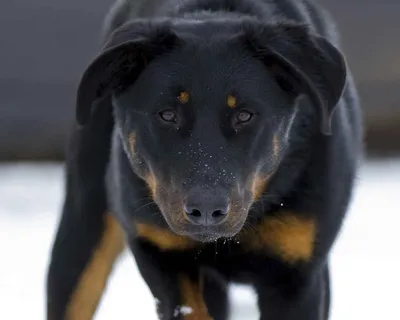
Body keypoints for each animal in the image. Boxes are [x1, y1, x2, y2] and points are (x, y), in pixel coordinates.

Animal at [46, 0, 362, 318]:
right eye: (167, 114)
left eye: (244, 115)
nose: (207, 208)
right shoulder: (162, 251)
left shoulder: (296, 271)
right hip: (83, 231)